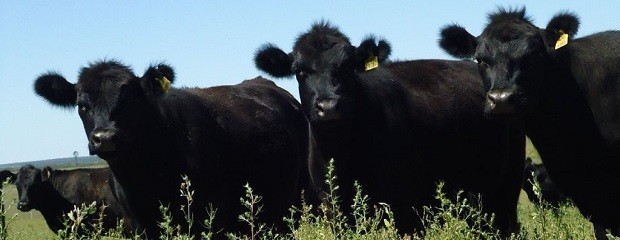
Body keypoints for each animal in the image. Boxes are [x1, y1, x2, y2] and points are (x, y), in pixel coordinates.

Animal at [254, 21, 524, 236]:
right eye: (299, 71)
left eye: (348, 66)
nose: (329, 106)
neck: (341, 155)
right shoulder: (334, 212)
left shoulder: (403, 208)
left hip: (506, 190)